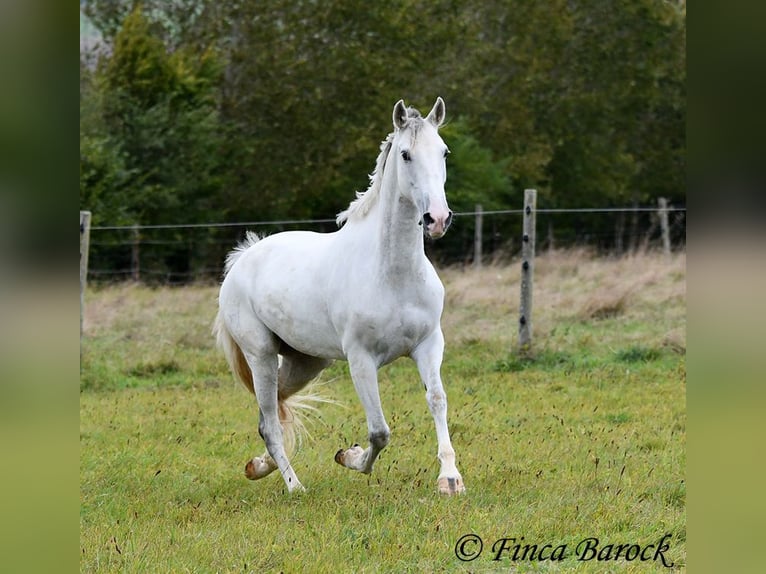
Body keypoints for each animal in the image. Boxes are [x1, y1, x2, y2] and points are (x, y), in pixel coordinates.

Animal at [218, 97, 468, 498]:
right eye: (406, 154)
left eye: (444, 152)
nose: (437, 219)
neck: (393, 274)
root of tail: (243, 258)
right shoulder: (361, 359)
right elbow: (379, 432)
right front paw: (349, 457)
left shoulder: (429, 344)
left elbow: (437, 400)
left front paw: (450, 479)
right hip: (261, 355)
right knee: (269, 422)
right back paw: (294, 486)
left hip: (306, 361)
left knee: (276, 407)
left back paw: (259, 466)